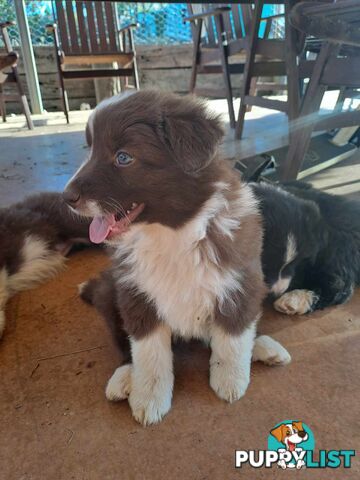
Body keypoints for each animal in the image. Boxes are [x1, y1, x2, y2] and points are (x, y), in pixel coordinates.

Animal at [64, 92, 290, 426]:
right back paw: (124, 377)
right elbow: (149, 355)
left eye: (123, 157)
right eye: (89, 150)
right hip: (111, 295)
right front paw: (148, 399)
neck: (173, 233)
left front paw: (230, 381)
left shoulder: (239, 280)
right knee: (124, 346)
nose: (66, 197)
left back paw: (263, 345)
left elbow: (233, 338)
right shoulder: (137, 296)